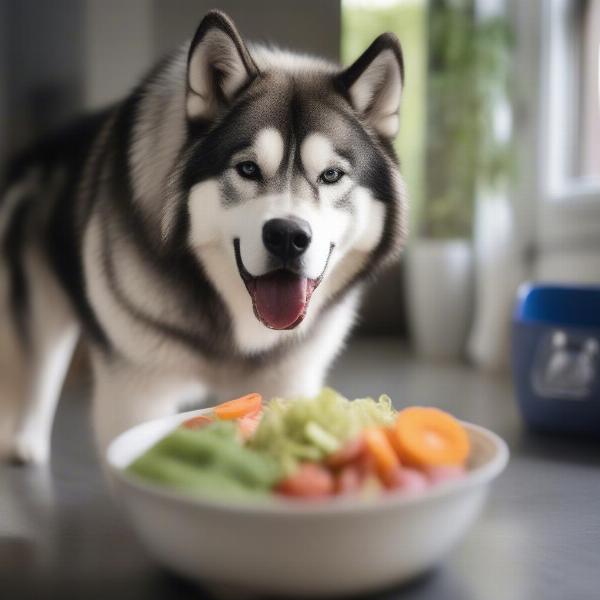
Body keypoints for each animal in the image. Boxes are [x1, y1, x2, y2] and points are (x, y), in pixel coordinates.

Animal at [0, 8, 408, 464]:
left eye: (332, 175)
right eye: (247, 169)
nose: (287, 236)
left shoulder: (290, 380)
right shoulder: (133, 391)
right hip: (40, 313)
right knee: (37, 372)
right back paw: (25, 440)